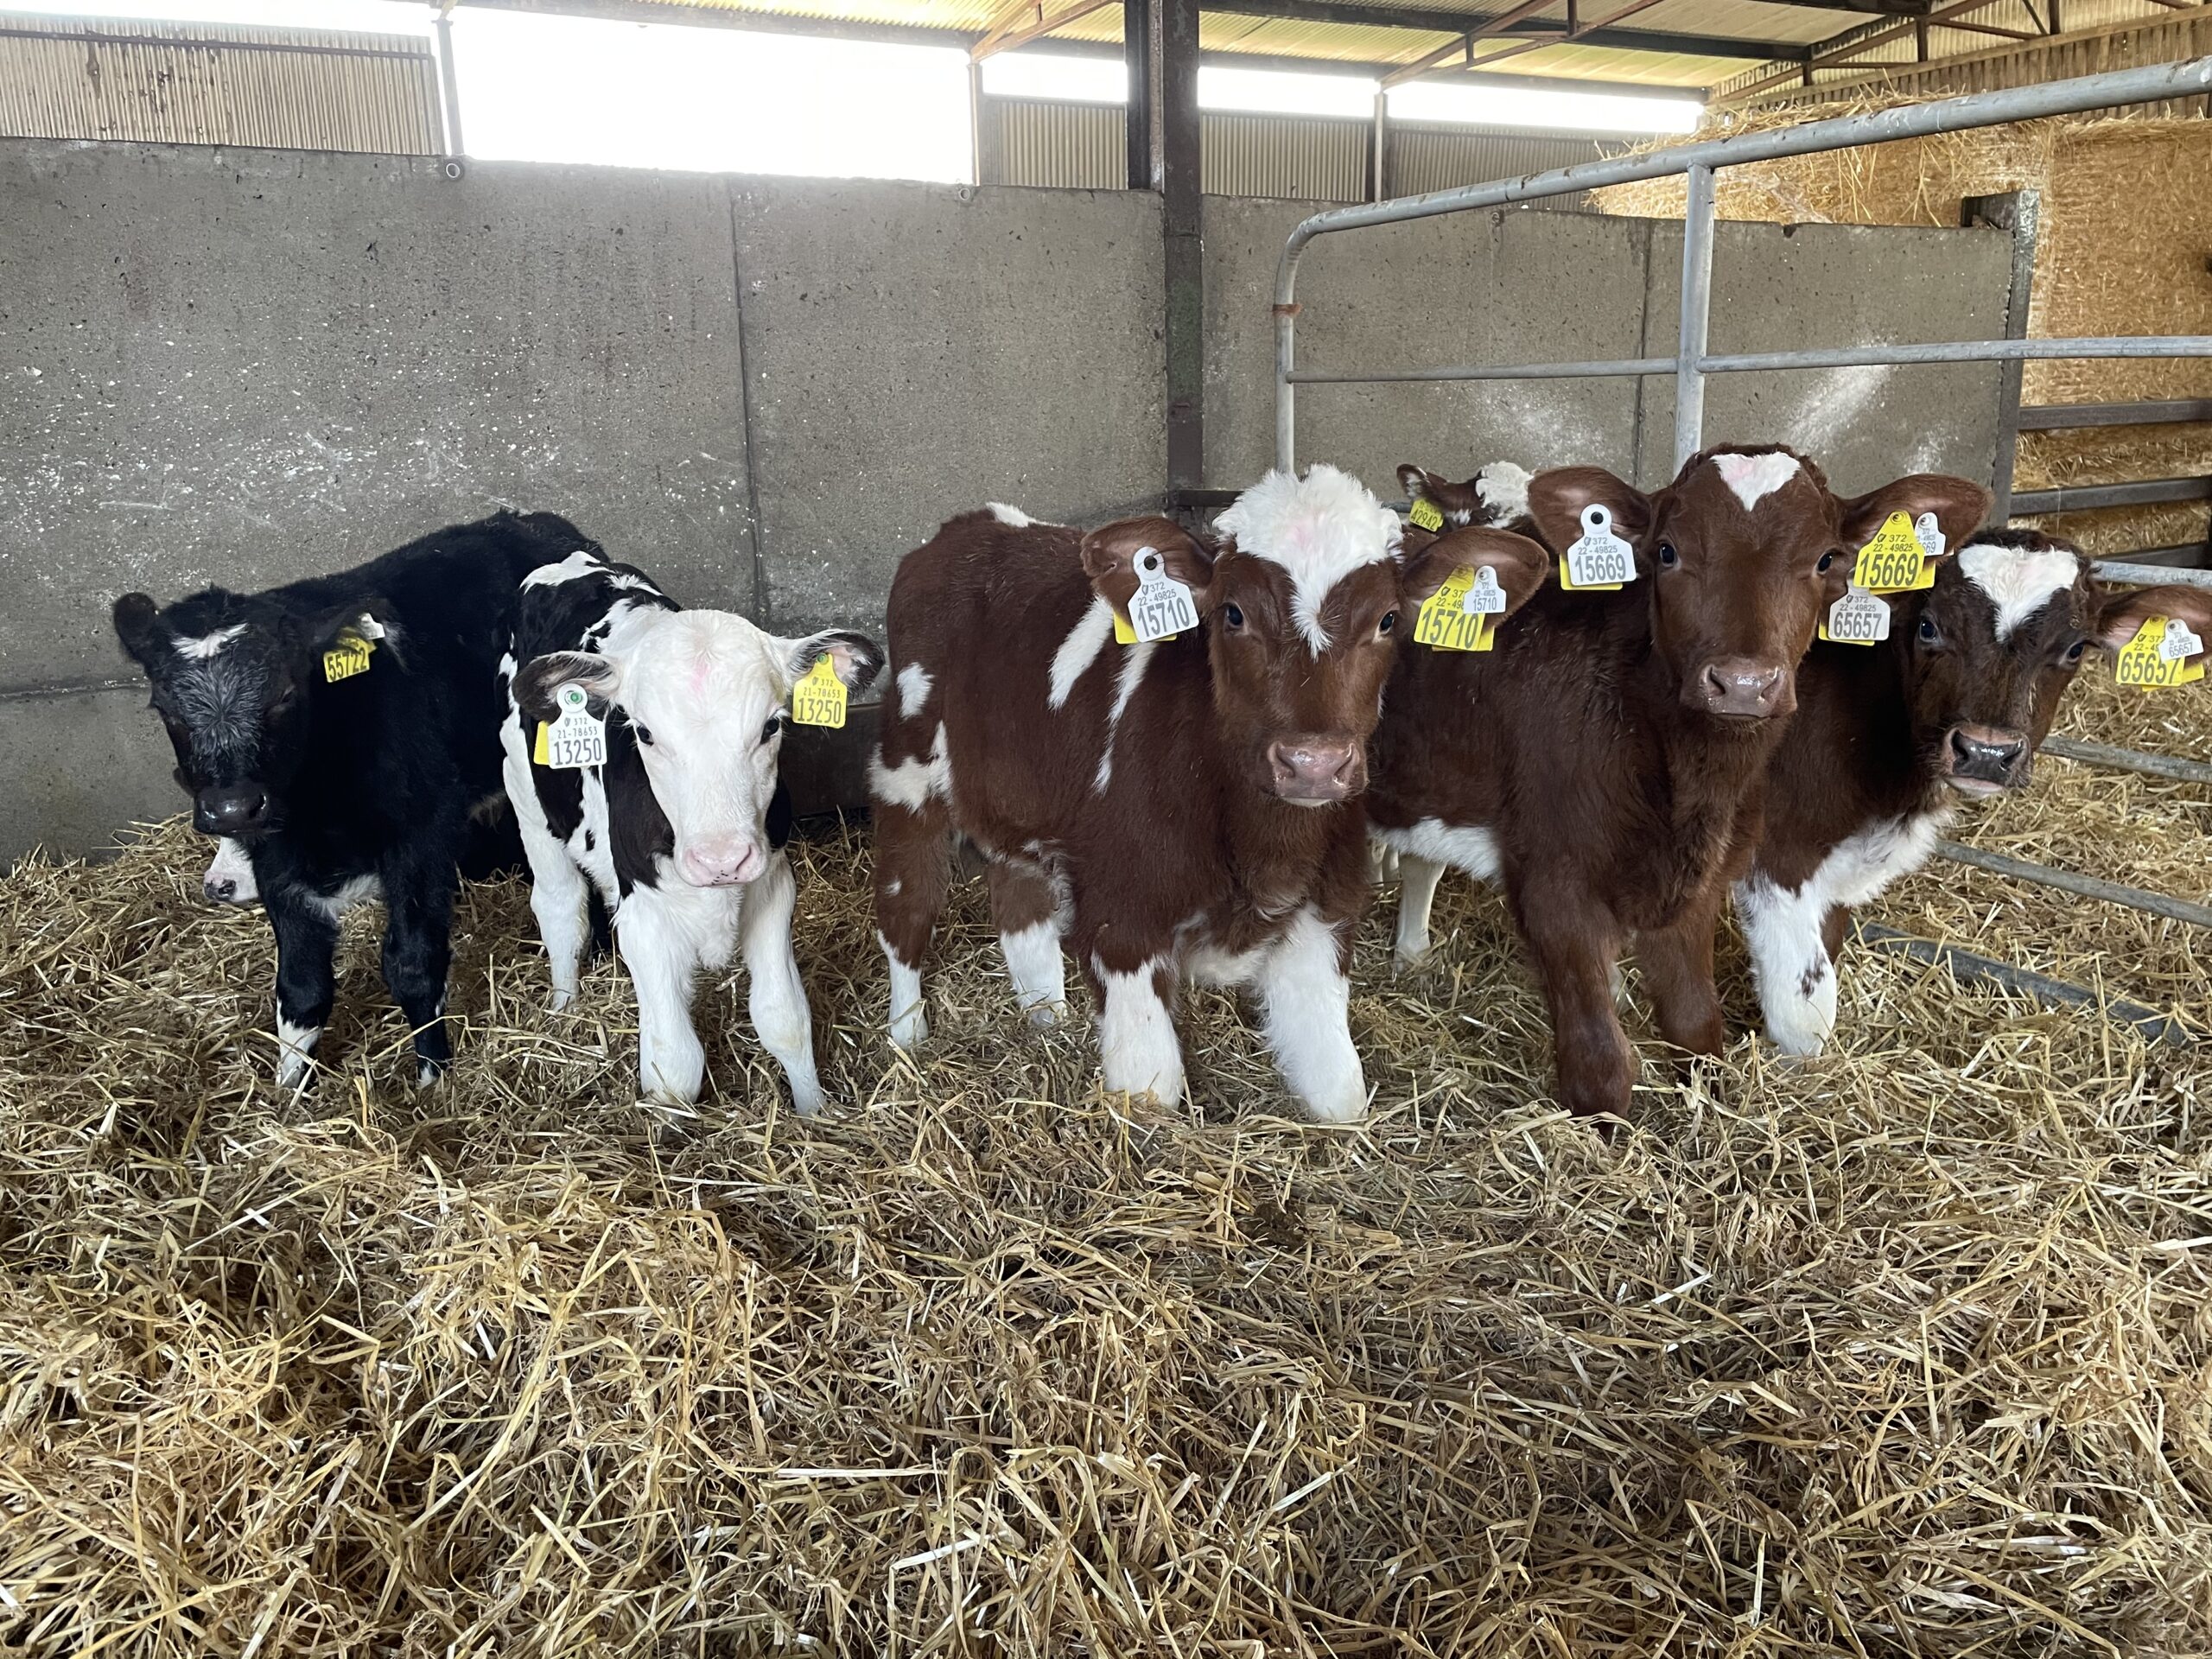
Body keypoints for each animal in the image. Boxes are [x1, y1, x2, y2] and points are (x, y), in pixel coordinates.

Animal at [112, 511, 595, 1086]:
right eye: (166, 709)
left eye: (285, 694)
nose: (232, 807)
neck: (318, 814)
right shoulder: (276, 860)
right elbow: (301, 986)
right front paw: (289, 1088)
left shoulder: (421, 833)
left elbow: (412, 962)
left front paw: (433, 1078)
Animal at [500, 548, 882, 1114]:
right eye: (644, 732)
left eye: (771, 725)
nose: (721, 860)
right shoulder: (642, 918)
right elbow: (674, 1064)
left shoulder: (773, 887)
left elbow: (785, 1018)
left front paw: (813, 1113)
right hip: (525, 794)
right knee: (560, 908)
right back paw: (564, 1010)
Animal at [868, 469, 1551, 1122]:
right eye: (1232, 613)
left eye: (1387, 619)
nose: (1313, 764)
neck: (1262, 846)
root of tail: (973, 524)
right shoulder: (1123, 919)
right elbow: (1152, 1095)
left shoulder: (1325, 913)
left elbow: (1343, 1095)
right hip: (905, 773)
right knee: (906, 914)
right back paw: (907, 1041)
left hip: (1019, 810)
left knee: (1022, 915)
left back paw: (1046, 1023)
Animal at [1370, 446, 1991, 1120]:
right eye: (1666, 551)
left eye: (1827, 558)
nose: (1744, 684)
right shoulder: (1552, 886)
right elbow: (1600, 1067)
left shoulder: (1697, 886)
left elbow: (1696, 1024)